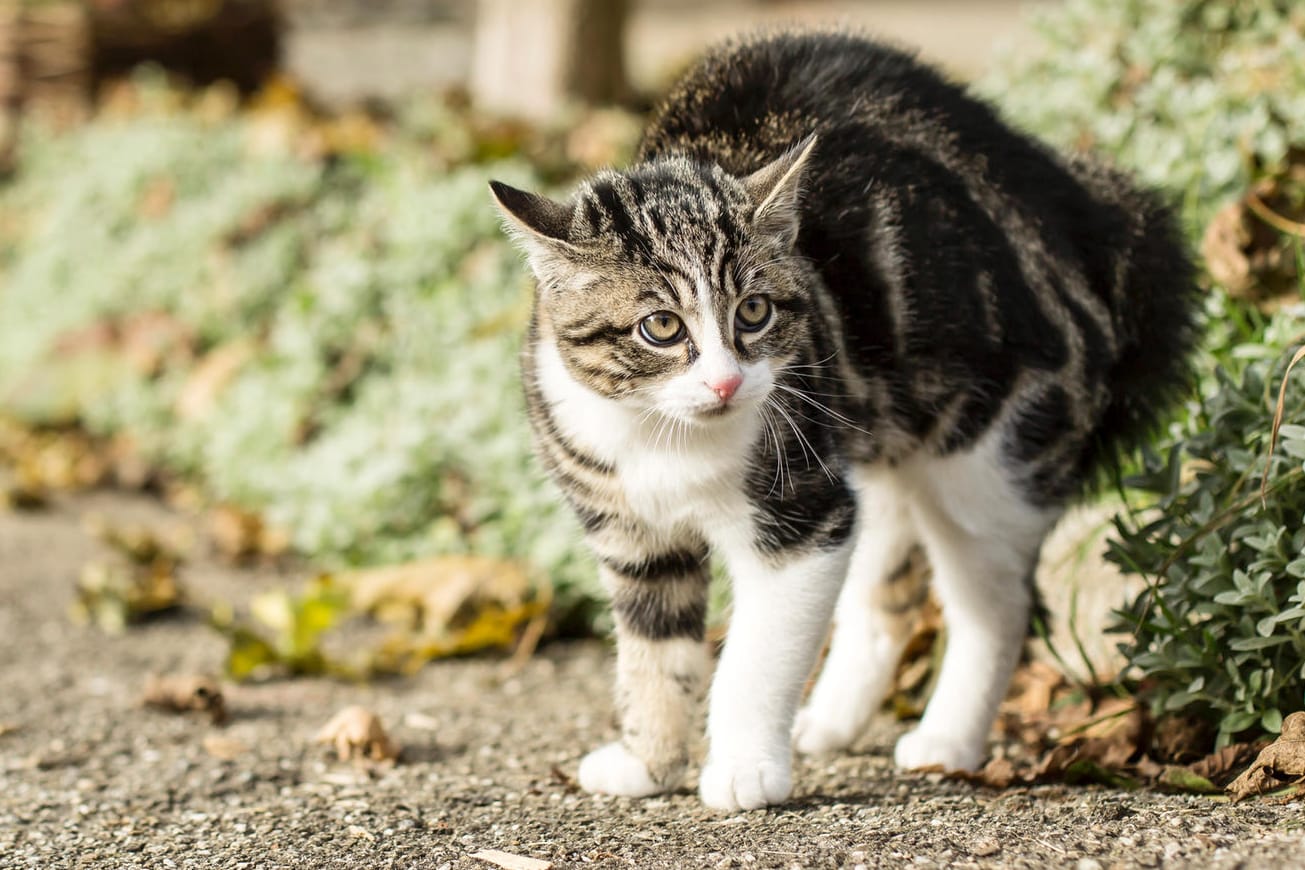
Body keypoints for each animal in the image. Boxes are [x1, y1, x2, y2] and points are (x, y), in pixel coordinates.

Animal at [490, 28, 1200, 819]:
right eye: (661, 327)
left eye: (754, 312)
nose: (727, 381)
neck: (662, 435)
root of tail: (1086, 218)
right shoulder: (632, 532)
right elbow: (655, 650)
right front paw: (649, 761)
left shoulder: (803, 510)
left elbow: (759, 651)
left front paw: (743, 770)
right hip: (877, 432)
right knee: (885, 587)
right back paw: (831, 720)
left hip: (988, 458)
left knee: (995, 602)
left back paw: (947, 739)